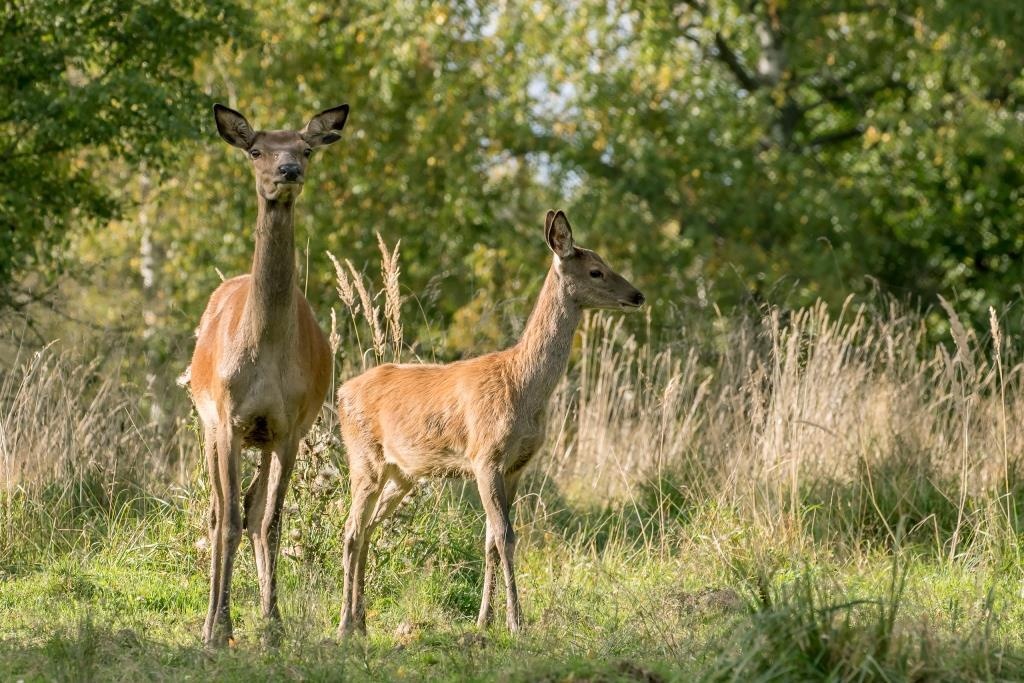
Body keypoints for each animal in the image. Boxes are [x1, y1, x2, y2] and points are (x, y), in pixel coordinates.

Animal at [182, 102, 346, 647]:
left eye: (306, 148)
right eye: (256, 150)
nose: (288, 171)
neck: (267, 352)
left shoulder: (289, 427)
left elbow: (269, 521)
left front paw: (272, 624)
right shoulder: (229, 419)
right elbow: (229, 521)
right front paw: (216, 629)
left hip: (264, 437)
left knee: (253, 510)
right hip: (206, 424)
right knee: (219, 513)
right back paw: (214, 618)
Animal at [331, 209, 643, 634]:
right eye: (596, 270)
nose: (638, 295)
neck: (523, 386)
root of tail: (341, 392)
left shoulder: (515, 467)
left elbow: (491, 540)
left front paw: (484, 619)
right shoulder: (485, 457)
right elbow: (506, 537)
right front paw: (515, 621)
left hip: (402, 473)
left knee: (367, 529)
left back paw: (362, 623)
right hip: (364, 460)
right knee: (350, 530)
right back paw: (345, 623)